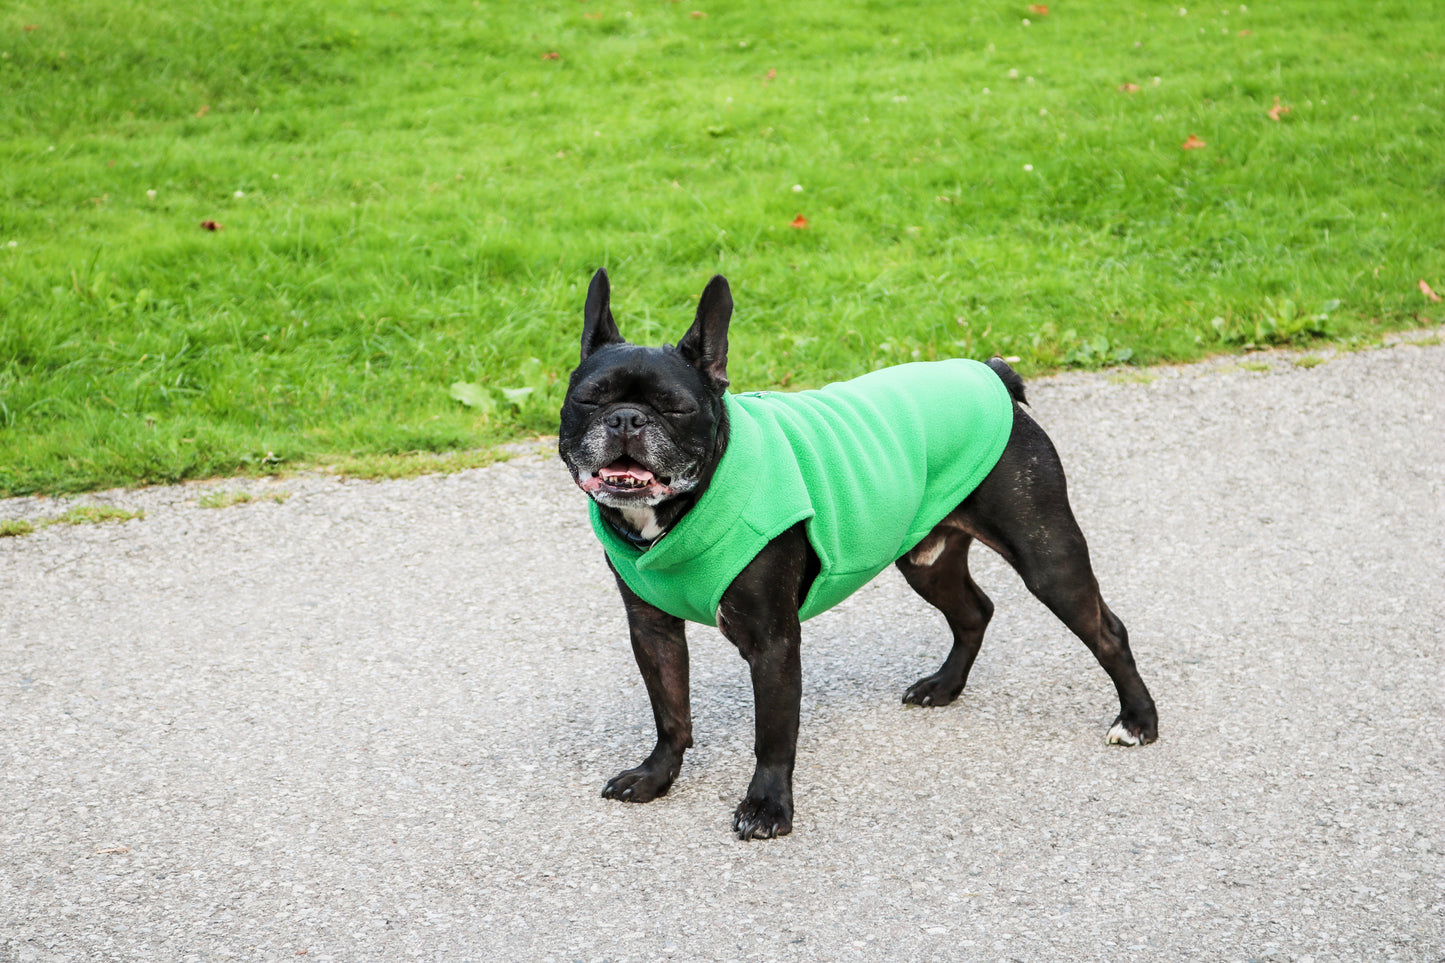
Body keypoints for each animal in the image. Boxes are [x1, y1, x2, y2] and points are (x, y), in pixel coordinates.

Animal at [557, 267, 1156, 832]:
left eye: (675, 408)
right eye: (586, 400)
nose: (627, 418)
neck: (682, 508)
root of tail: (994, 374)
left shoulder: (773, 642)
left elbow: (773, 733)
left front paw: (767, 807)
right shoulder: (652, 630)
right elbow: (671, 712)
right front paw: (655, 776)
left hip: (1046, 556)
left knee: (1107, 631)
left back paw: (1138, 721)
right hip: (926, 560)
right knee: (974, 611)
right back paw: (944, 686)